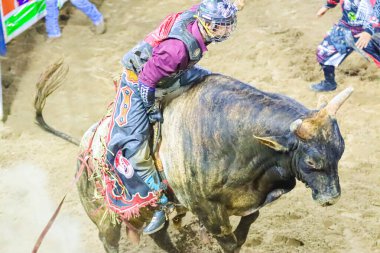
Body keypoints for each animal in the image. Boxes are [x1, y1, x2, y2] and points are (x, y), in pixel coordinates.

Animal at [34, 60, 352, 252]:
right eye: (311, 162)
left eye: (340, 150)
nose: (331, 198)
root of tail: (84, 148)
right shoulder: (207, 210)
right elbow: (229, 241)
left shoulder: (249, 198)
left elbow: (249, 221)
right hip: (104, 217)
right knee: (108, 239)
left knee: (159, 233)